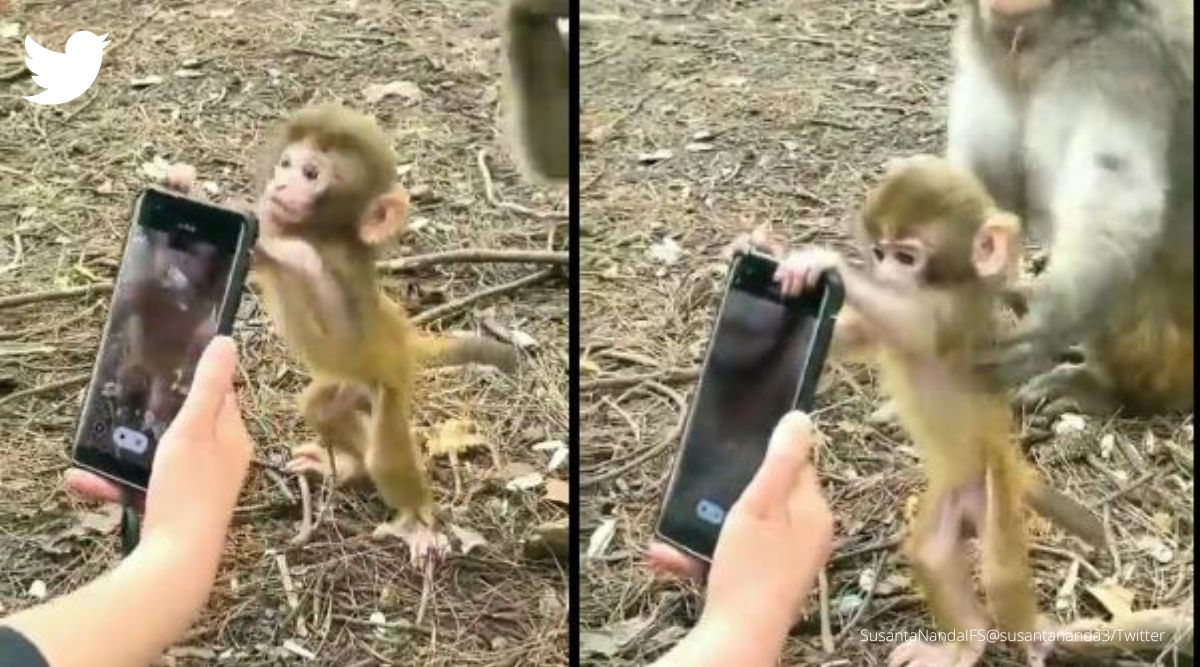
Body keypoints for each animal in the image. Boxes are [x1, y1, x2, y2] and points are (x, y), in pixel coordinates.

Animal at [166, 104, 517, 563]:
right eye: (286, 164)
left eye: (311, 173)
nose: (280, 183)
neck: (322, 234)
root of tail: (402, 337)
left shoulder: (320, 258)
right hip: (352, 383)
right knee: (320, 408)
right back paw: (353, 466)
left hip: (391, 381)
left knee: (385, 456)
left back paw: (417, 520)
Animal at [776, 155, 1104, 667]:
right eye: (881, 252)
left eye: (907, 257)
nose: (886, 276)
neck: (951, 283)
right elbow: (851, 336)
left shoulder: (952, 314)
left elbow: (914, 324)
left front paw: (825, 264)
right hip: (955, 496)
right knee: (931, 551)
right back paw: (968, 641)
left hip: (996, 493)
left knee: (999, 571)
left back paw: (1033, 637)